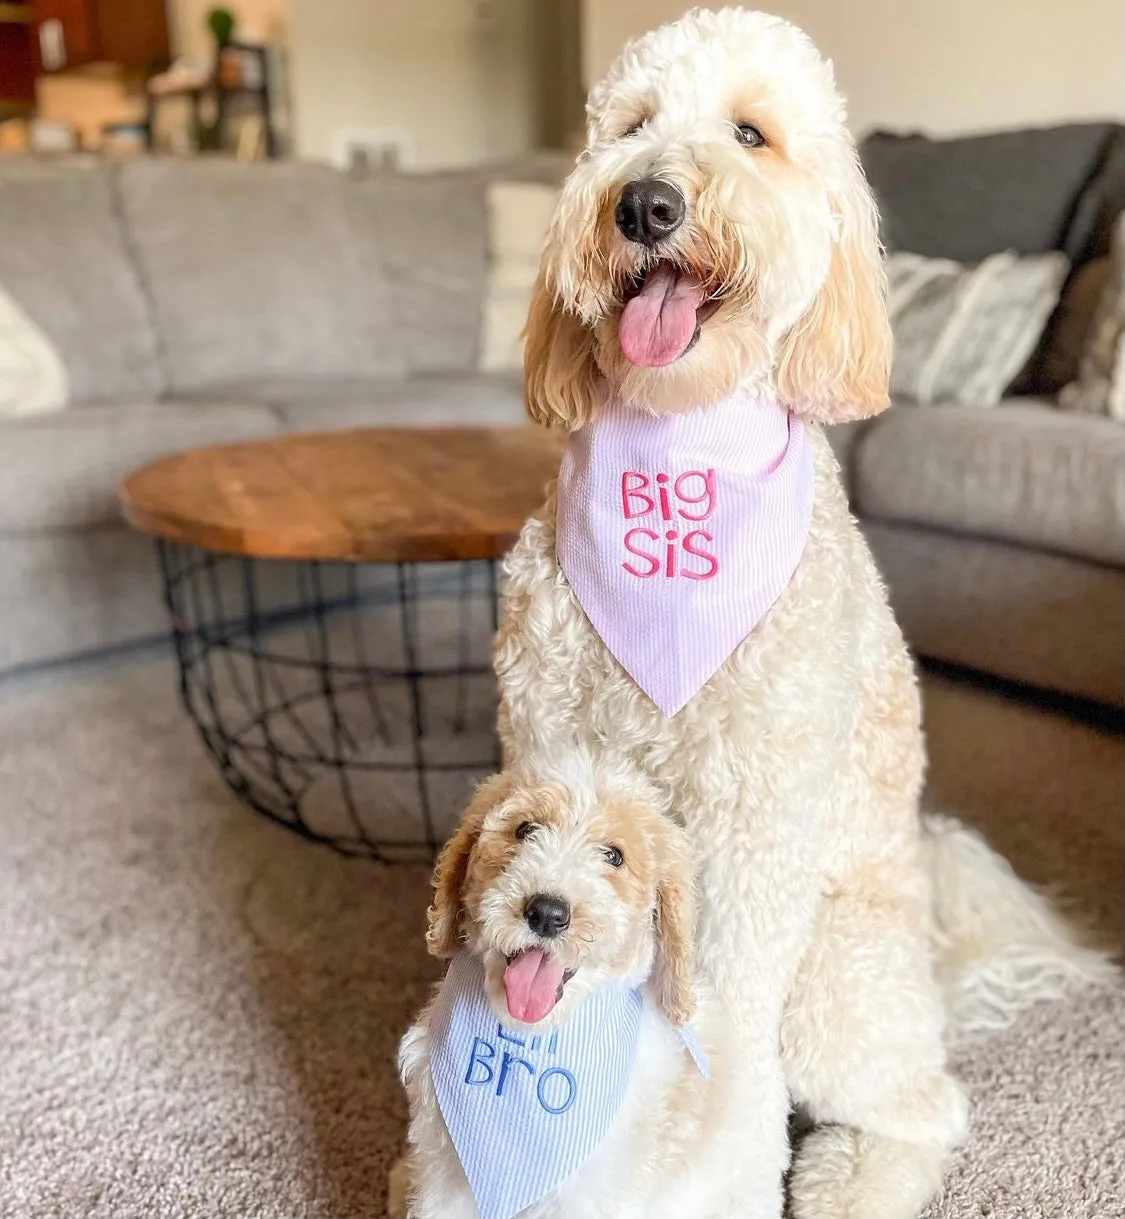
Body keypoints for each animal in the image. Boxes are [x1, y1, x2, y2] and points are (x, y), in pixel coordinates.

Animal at [394, 760, 775, 1219]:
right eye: (525, 829)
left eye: (614, 856)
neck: (528, 1041)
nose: (547, 913)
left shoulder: (590, 1194)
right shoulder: (445, 1174)